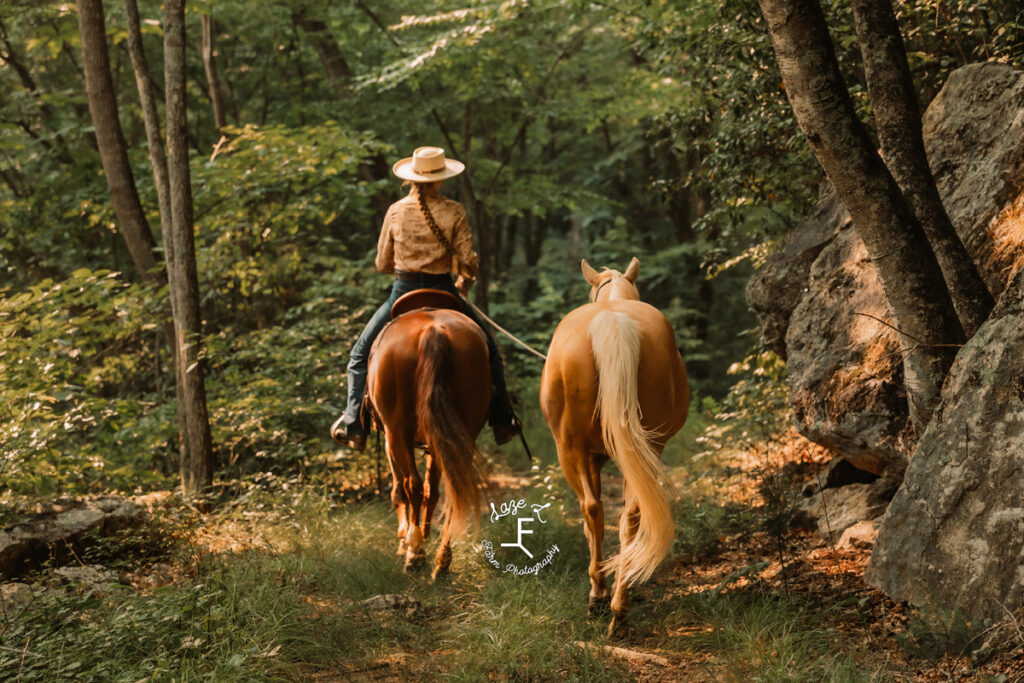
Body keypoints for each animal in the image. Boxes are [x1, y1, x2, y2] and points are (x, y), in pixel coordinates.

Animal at [368, 290, 491, 581]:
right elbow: (431, 491)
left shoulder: (391, 439)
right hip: (462, 431)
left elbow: (401, 489)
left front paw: (406, 540)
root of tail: (433, 331)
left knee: (411, 485)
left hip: (396, 432)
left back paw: (415, 553)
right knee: (453, 490)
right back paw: (442, 560)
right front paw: (422, 534)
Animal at [540, 255, 692, 634]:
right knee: (631, 516)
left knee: (592, 510)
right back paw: (620, 609)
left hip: (570, 449)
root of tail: (611, 322)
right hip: (645, 448)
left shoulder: (587, 456)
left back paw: (599, 595)